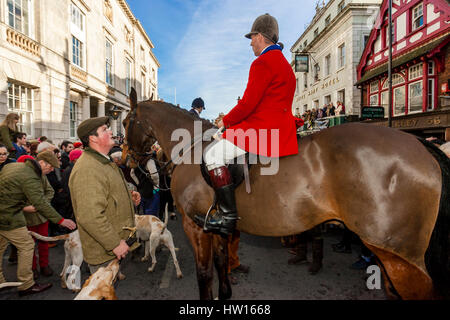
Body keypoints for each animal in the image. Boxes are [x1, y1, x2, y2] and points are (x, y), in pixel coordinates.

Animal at [122, 88, 450, 300]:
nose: (128, 160)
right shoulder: (216, 227)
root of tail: (420, 145)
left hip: (399, 257)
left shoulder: (195, 226)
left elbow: (204, 274)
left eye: (125, 122)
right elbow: (221, 264)